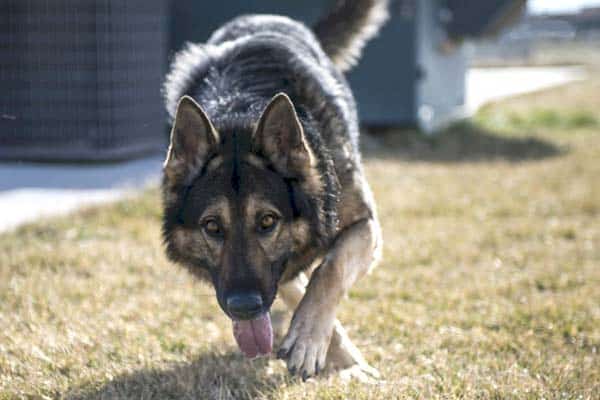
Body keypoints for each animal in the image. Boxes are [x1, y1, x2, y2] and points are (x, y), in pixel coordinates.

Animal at [162, 0, 390, 382]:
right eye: (212, 227)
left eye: (268, 222)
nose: (244, 308)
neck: (241, 109)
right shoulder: (277, 277)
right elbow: (296, 287)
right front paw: (339, 356)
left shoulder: (365, 226)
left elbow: (329, 270)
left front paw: (313, 341)